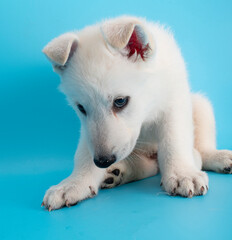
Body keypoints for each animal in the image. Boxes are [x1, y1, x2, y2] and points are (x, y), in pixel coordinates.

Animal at [41, 15, 232, 210]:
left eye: (120, 101)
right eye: (81, 108)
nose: (102, 162)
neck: (147, 108)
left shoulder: (173, 102)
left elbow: (174, 140)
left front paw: (182, 174)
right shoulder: (87, 129)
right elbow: (84, 154)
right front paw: (74, 183)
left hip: (201, 105)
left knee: (201, 150)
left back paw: (217, 156)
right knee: (150, 166)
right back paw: (118, 173)